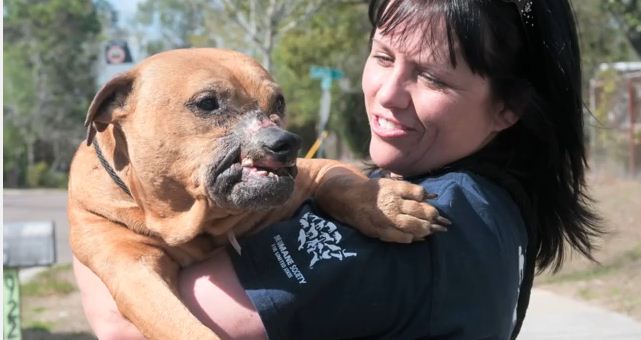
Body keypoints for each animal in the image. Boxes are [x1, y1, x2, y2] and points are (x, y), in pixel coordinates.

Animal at [66, 48, 444, 340]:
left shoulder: (317, 171)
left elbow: (340, 180)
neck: (198, 222)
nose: (287, 142)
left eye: (279, 101)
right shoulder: (133, 272)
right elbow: (180, 326)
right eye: (207, 103)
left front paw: (386, 204)